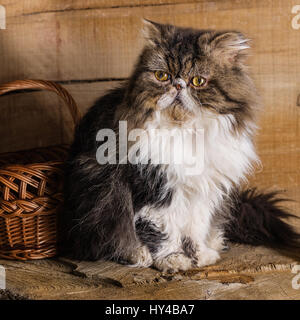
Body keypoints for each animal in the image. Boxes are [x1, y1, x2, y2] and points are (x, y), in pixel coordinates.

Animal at [58, 18, 300, 272]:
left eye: (198, 81)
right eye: (162, 76)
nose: (177, 85)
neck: (187, 131)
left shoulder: (203, 193)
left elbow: (196, 229)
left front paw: (200, 256)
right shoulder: (154, 191)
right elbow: (163, 232)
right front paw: (172, 259)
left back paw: (215, 244)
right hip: (96, 204)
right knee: (111, 241)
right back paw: (138, 255)